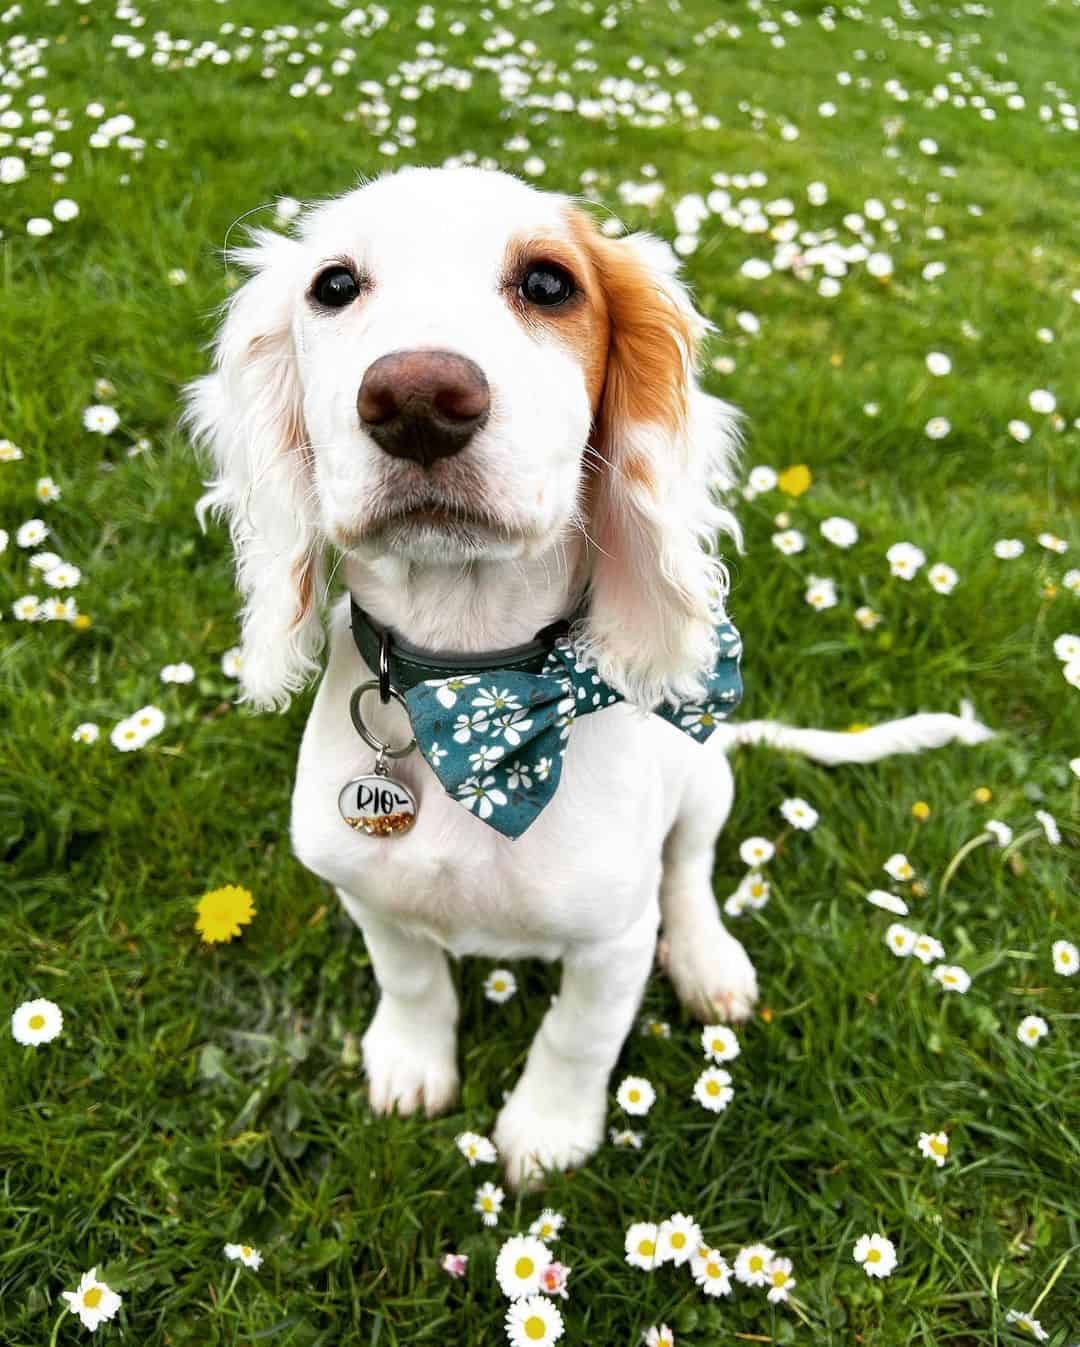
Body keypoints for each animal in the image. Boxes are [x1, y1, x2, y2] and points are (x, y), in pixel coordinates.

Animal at [183, 162, 985, 1185]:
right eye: (333, 285)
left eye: (548, 283)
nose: (417, 397)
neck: (474, 690)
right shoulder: (366, 891)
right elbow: (411, 978)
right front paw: (410, 1062)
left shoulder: (613, 939)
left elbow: (578, 1034)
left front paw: (547, 1132)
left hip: (705, 778)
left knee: (691, 871)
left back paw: (710, 961)